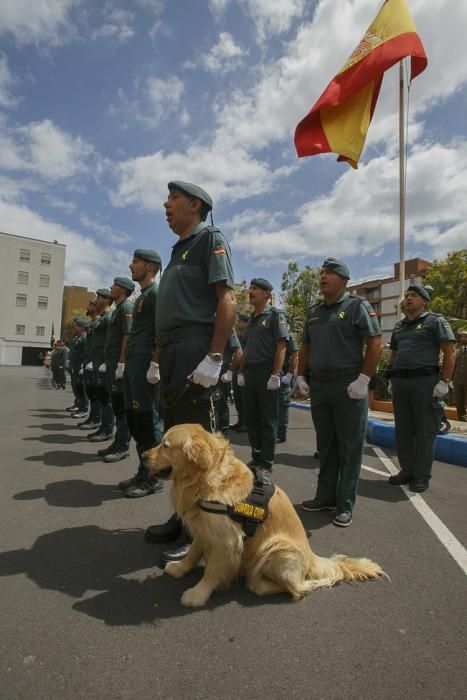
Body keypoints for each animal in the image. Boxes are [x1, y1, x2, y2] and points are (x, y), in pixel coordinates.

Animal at [144, 422, 386, 608]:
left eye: (165, 445)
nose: (143, 456)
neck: (205, 479)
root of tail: (311, 557)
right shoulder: (204, 529)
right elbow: (193, 552)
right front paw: (180, 568)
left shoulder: (226, 540)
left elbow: (212, 571)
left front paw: (198, 594)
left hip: (276, 548)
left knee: (297, 587)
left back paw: (257, 581)